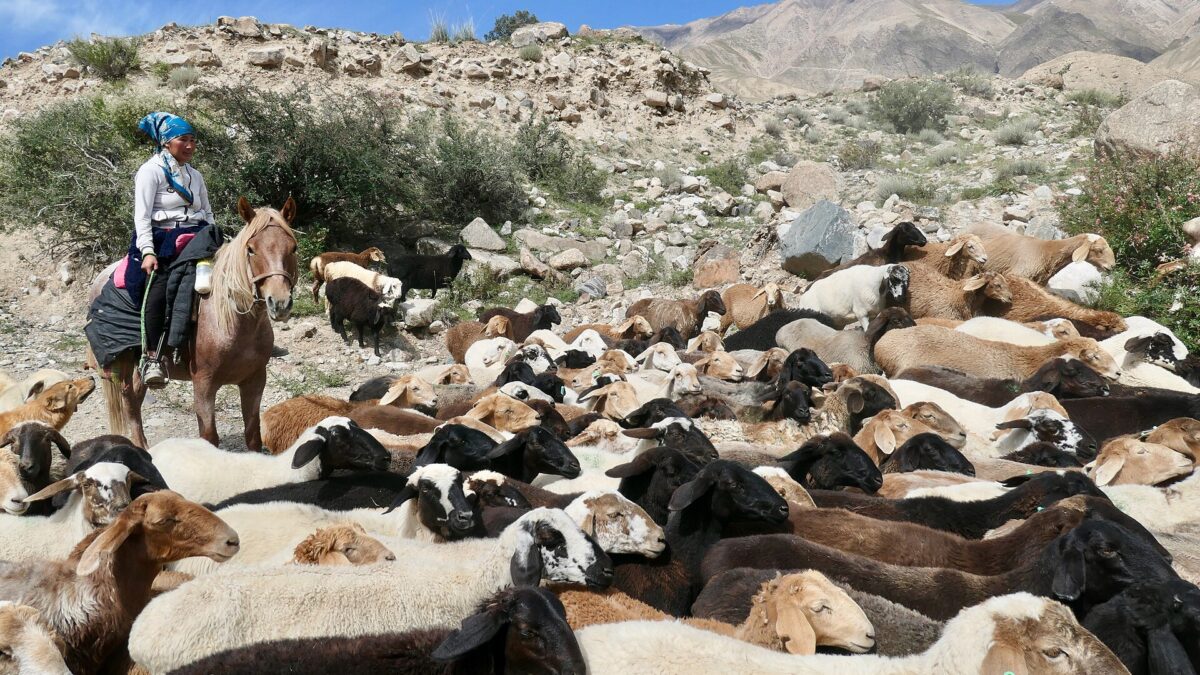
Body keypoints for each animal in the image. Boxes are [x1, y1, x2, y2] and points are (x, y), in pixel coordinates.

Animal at [85, 197, 298, 451]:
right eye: (251, 249)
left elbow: (253, 436)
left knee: (135, 398)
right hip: (123, 363)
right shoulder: (203, 384)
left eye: (293, 247)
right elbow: (209, 437)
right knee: (129, 401)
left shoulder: (254, 380)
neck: (231, 322)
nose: (280, 302)